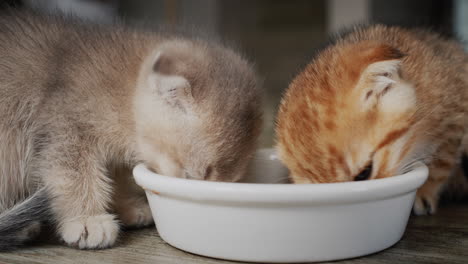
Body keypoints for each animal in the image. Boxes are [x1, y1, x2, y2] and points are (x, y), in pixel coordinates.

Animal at [0, 10, 264, 250]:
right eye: (190, 176)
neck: (122, 91)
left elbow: (112, 175)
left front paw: (124, 206)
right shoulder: (64, 128)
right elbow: (73, 176)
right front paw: (87, 219)